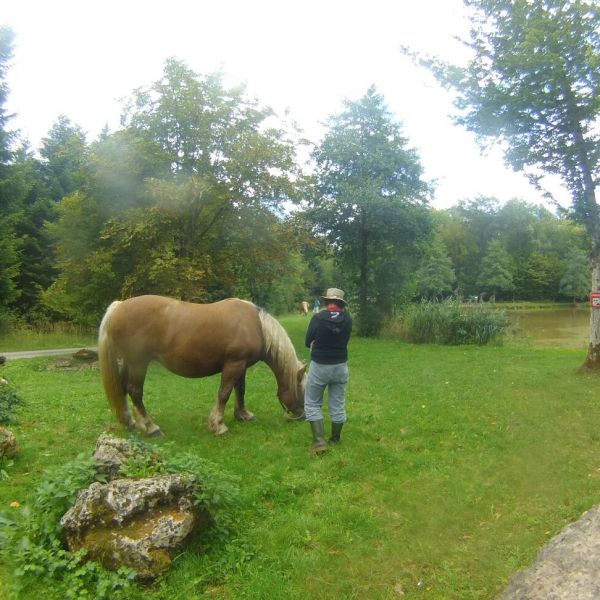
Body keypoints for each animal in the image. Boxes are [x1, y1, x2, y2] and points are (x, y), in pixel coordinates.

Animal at [99, 296, 308, 436]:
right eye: (302, 389)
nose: (303, 416)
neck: (256, 325)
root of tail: (119, 306)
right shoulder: (234, 365)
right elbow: (224, 393)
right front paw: (218, 425)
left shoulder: (241, 366)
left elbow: (240, 390)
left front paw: (243, 415)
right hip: (138, 363)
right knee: (135, 391)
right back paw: (151, 427)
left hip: (128, 363)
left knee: (123, 389)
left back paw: (129, 422)